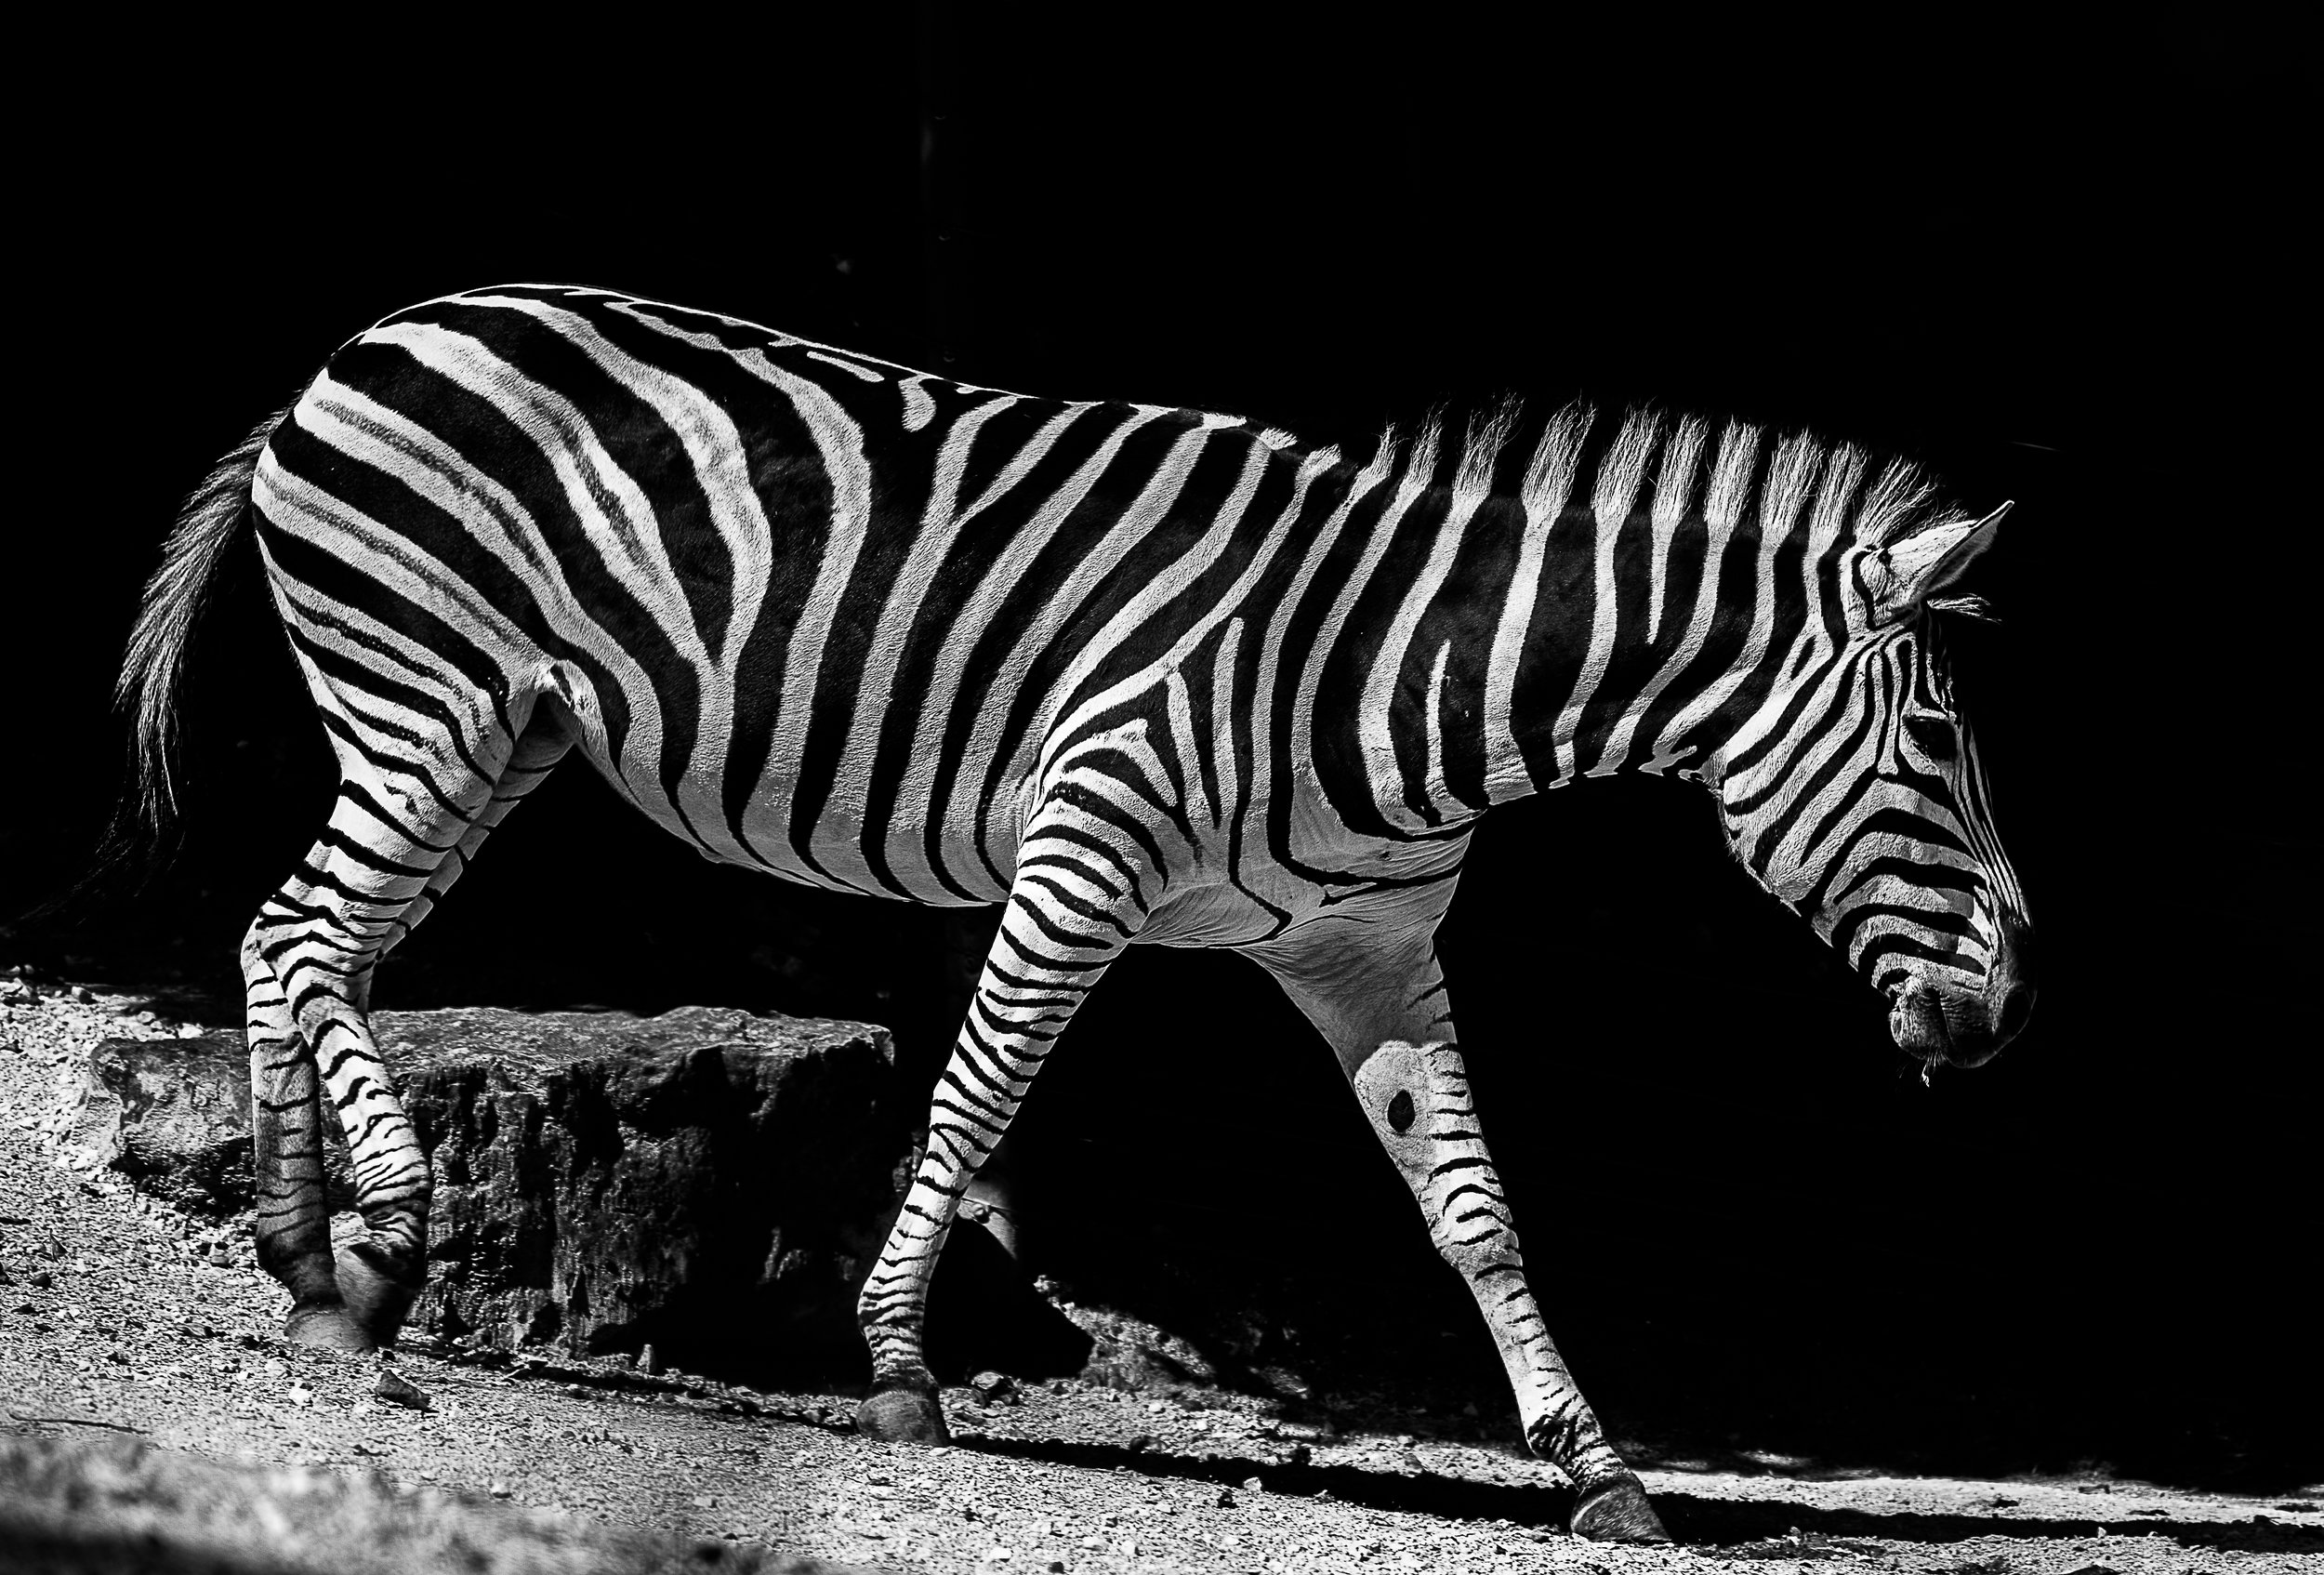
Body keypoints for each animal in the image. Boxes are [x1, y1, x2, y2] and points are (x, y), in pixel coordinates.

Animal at [115, 284, 2034, 1543]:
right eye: (1939, 743)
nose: (2013, 1003)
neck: (1398, 673)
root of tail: (364, 339)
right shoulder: (1083, 853)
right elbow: (974, 1103)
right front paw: (900, 1361)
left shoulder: (1368, 950)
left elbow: (1479, 1211)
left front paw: (1598, 1464)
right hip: (428, 695)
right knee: (305, 937)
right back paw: (385, 1238)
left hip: (496, 729)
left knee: (296, 942)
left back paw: (307, 1253)